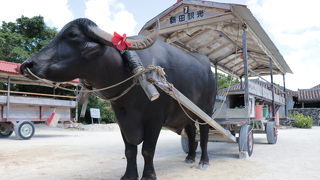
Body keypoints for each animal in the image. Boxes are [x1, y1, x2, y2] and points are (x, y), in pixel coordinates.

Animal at [21, 18, 216, 180]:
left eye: (73, 36)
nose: (26, 65)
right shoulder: (122, 119)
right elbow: (129, 150)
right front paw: (129, 176)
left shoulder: (155, 120)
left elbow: (147, 150)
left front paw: (148, 176)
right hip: (187, 113)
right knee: (191, 133)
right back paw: (190, 157)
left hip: (206, 111)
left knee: (204, 135)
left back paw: (203, 161)